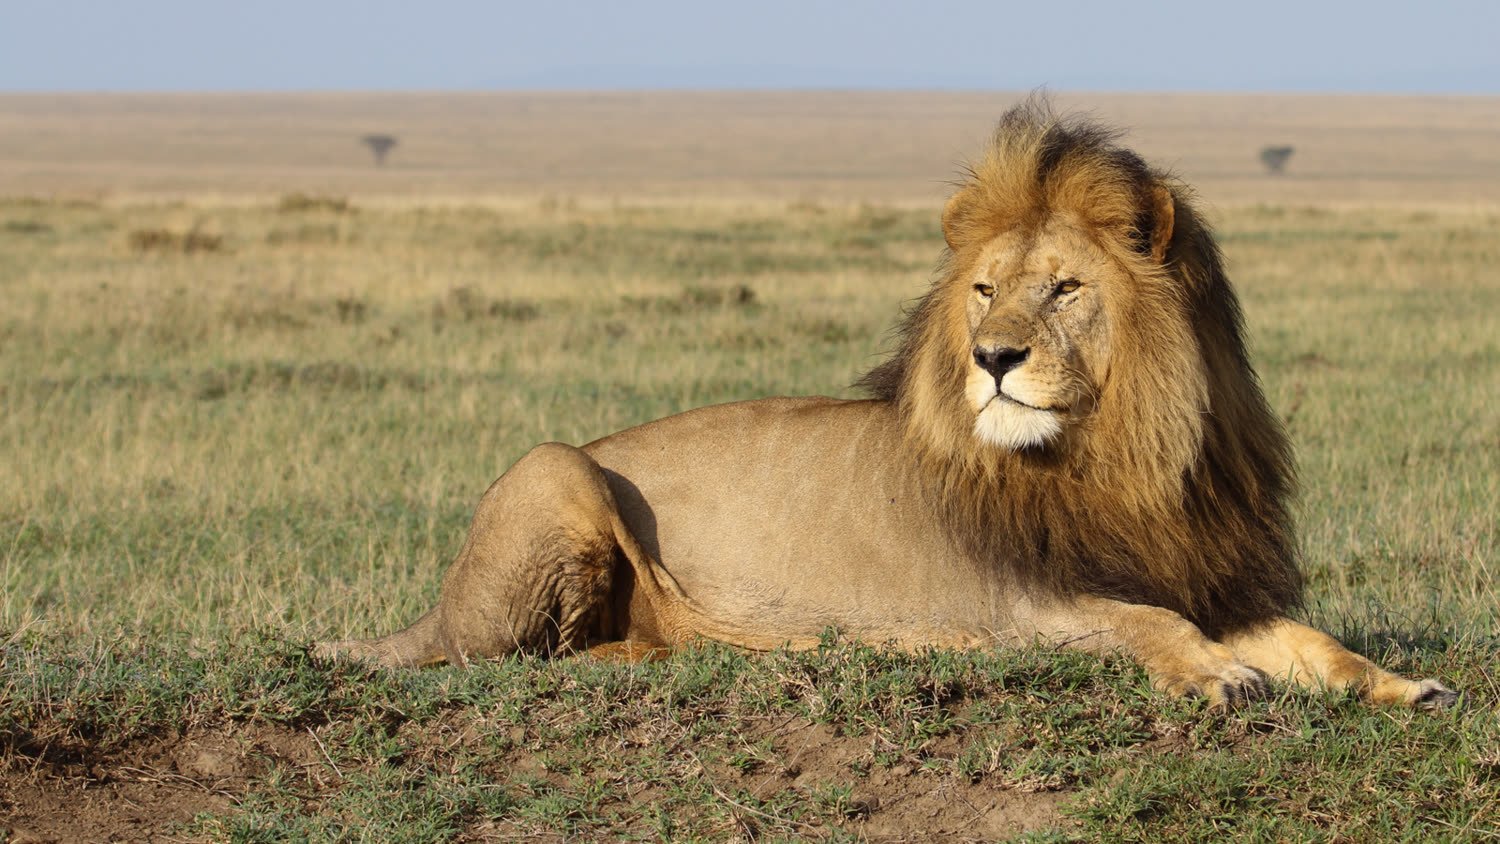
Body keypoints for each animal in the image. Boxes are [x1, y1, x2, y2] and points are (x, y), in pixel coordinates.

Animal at [318, 100, 1456, 709]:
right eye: (986, 290)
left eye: (1065, 289)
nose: (993, 358)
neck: (1124, 456)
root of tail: (434, 605)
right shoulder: (1023, 605)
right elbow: (1150, 623)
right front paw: (1220, 676)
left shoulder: (1212, 573)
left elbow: (1313, 639)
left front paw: (1402, 685)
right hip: (555, 468)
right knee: (519, 658)